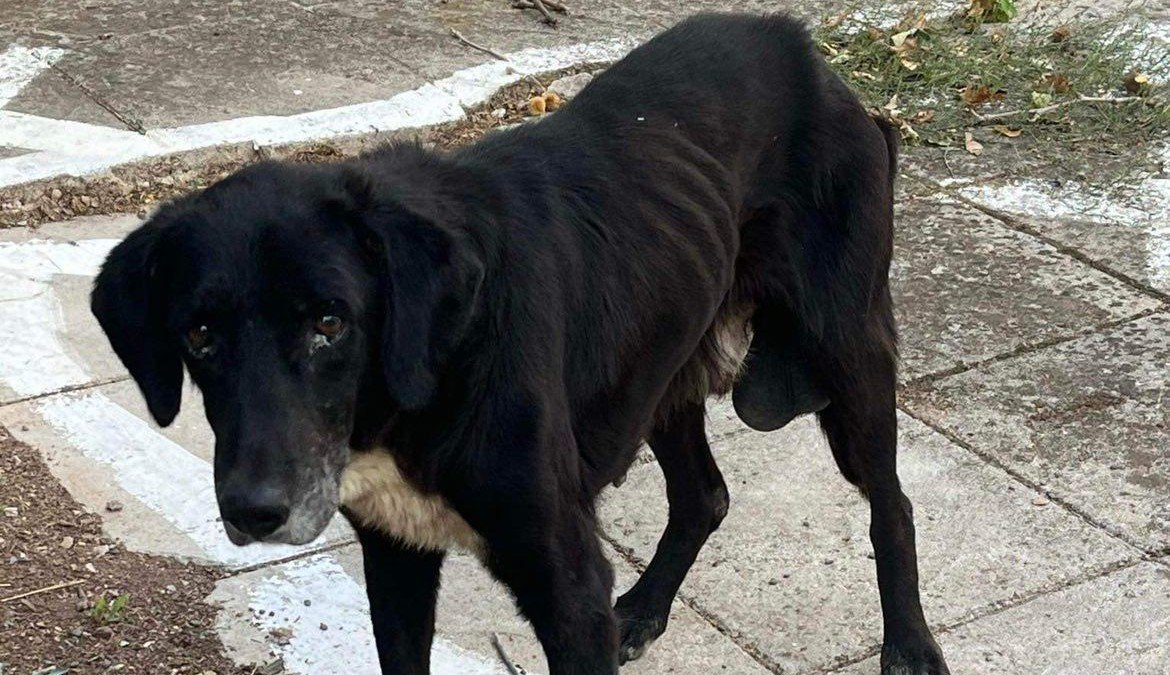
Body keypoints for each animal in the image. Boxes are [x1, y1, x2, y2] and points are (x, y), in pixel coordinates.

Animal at [91, 13, 949, 675]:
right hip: (664, 361)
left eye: (329, 323)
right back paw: (645, 607)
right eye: (200, 335)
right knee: (705, 494)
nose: (254, 511)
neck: (432, 377)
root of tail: (810, 55)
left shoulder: (564, 582)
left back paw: (911, 646)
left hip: (847, 352)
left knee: (894, 502)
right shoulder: (396, 556)